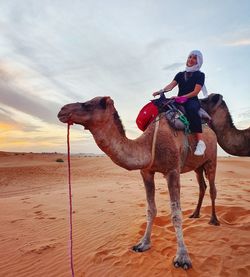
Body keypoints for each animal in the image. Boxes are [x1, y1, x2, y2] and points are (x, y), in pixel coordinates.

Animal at [57, 95, 219, 270]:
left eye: (86, 104)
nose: (62, 110)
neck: (148, 146)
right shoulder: (146, 172)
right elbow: (150, 210)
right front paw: (143, 244)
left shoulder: (173, 171)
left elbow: (176, 214)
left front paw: (182, 257)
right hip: (197, 166)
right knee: (202, 186)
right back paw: (195, 214)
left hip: (211, 159)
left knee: (212, 189)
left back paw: (213, 220)